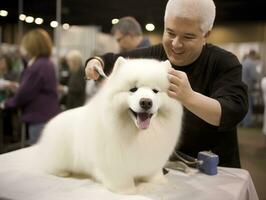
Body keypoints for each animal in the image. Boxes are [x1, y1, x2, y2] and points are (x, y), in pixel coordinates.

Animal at [37, 56, 183, 194]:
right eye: (133, 89)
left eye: (155, 91)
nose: (146, 102)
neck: (138, 133)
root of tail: (50, 123)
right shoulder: (115, 163)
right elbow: (121, 179)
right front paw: (127, 190)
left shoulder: (152, 159)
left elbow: (152, 172)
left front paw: (158, 181)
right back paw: (63, 172)